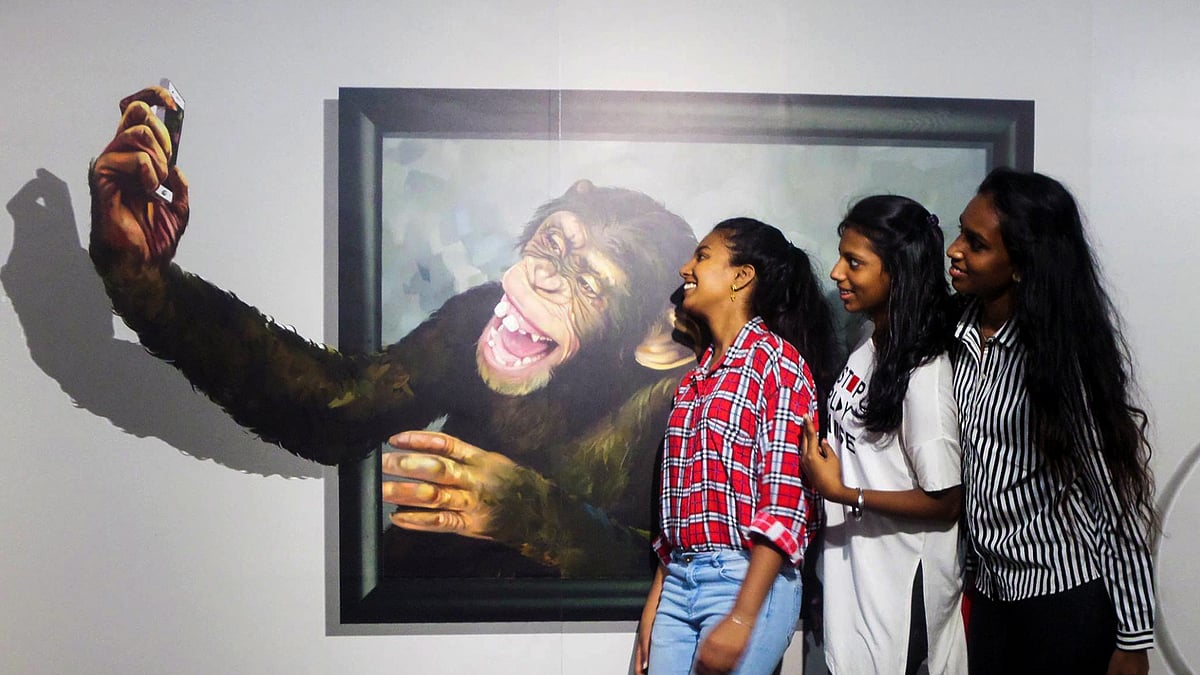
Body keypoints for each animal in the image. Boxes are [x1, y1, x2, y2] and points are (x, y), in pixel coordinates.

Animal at [89, 86, 700, 578]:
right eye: (554, 245)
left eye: (589, 286)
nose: (546, 279)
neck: (575, 386)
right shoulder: (463, 319)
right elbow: (346, 402)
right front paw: (135, 241)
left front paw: (503, 499)